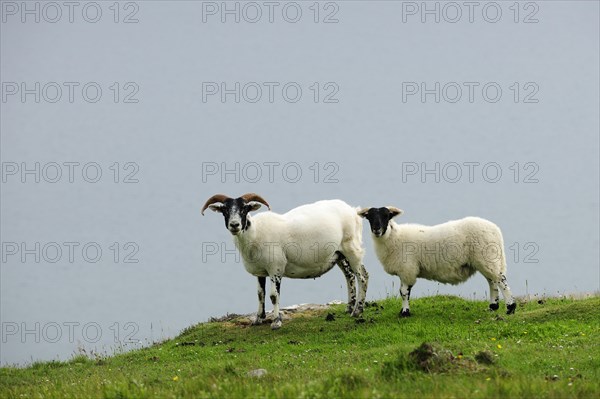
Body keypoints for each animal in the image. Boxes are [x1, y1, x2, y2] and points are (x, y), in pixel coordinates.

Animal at [204, 192, 368, 330]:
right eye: (224, 210)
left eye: (245, 208)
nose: (234, 225)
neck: (255, 233)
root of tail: (354, 210)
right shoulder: (260, 271)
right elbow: (260, 294)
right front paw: (258, 319)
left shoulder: (275, 268)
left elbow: (273, 295)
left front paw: (276, 322)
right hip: (339, 253)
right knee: (349, 276)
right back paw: (349, 307)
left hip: (351, 247)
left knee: (362, 276)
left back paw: (358, 311)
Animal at [356, 208, 516, 318]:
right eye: (370, 217)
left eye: (386, 216)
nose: (377, 229)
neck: (394, 237)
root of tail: (495, 230)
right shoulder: (406, 271)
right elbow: (405, 292)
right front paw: (404, 311)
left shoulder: (407, 269)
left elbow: (403, 292)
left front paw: (405, 312)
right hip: (486, 260)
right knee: (492, 280)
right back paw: (493, 306)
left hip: (486, 257)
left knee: (500, 279)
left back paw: (510, 307)